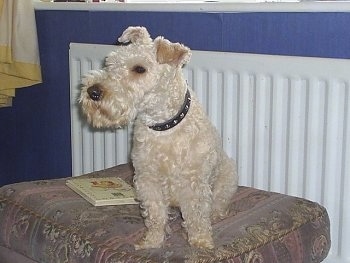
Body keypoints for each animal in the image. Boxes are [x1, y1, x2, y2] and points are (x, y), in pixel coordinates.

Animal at [79, 26, 238, 252]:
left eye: (139, 69)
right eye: (110, 63)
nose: (92, 92)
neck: (163, 126)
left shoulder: (194, 182)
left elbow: (197, 217)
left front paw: (201, 242)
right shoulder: (148, 179)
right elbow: (155, 215)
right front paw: (152, 241)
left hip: (227, 177)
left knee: (218, 203)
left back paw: (216, 215)